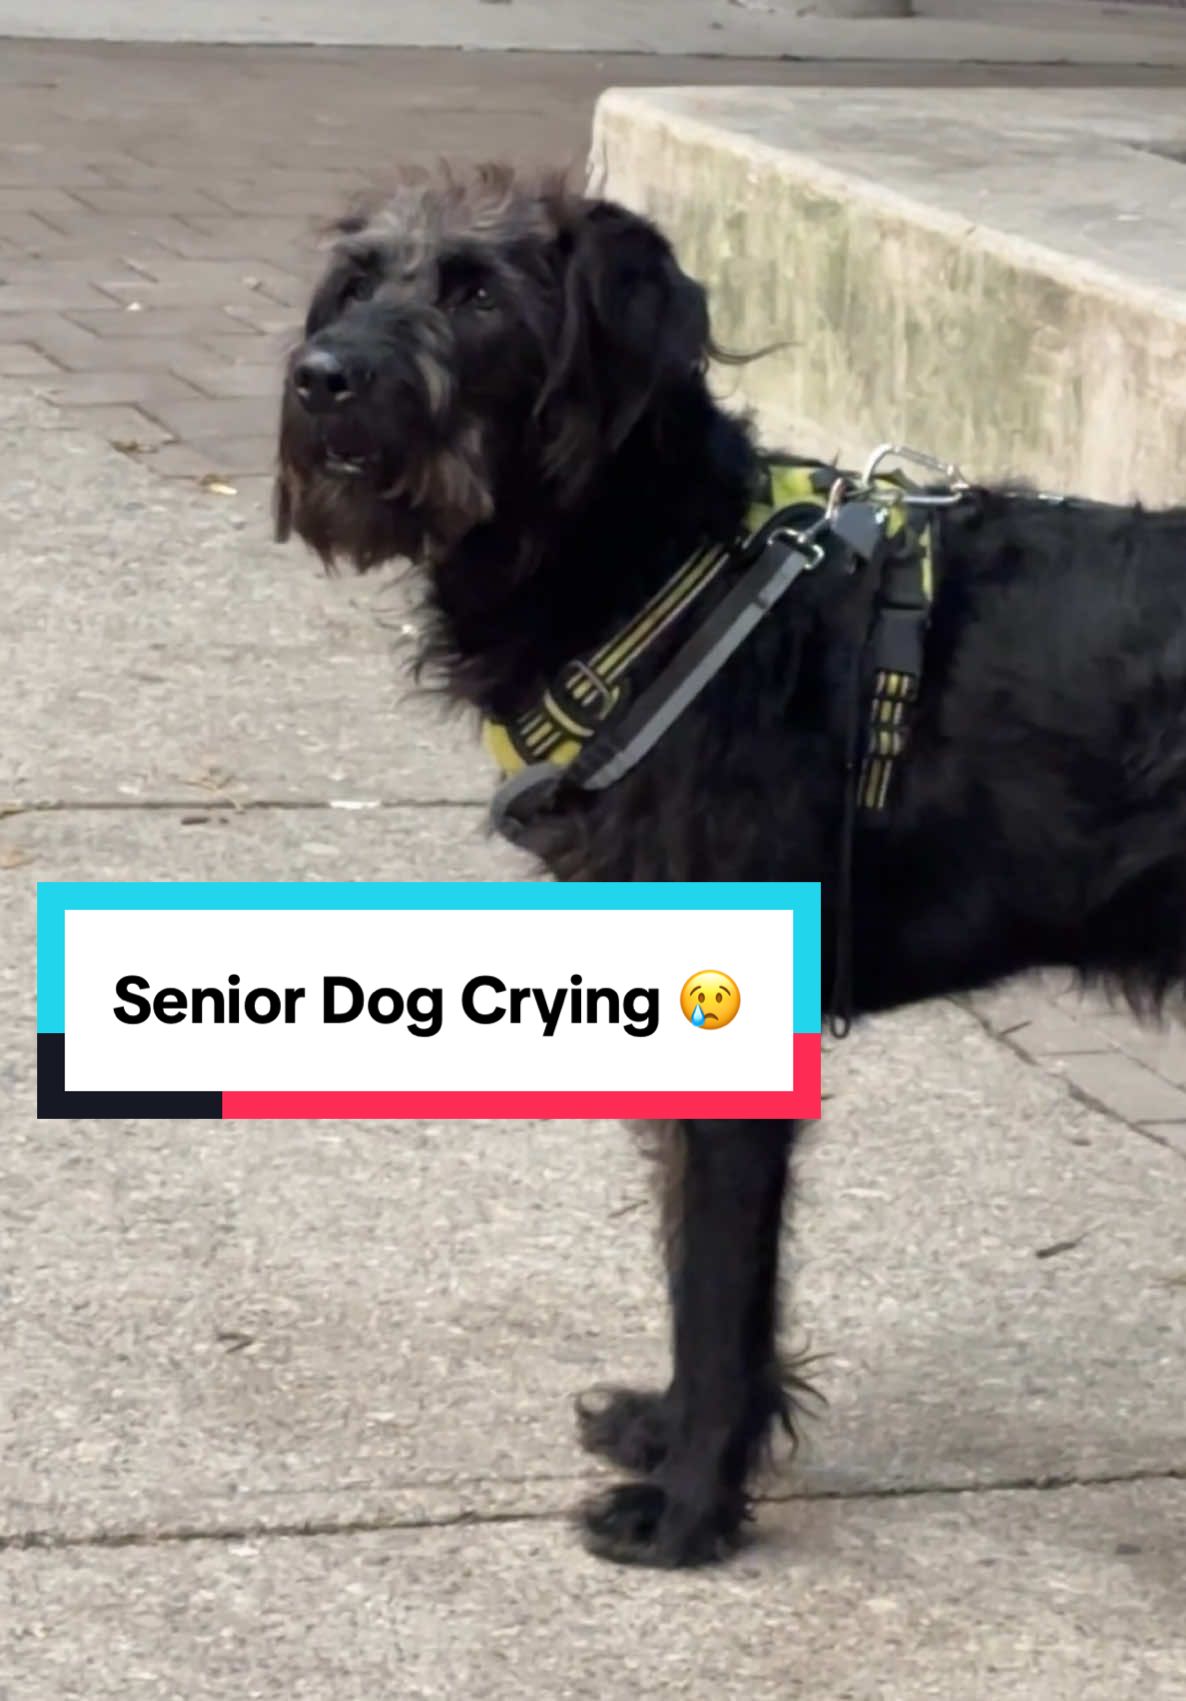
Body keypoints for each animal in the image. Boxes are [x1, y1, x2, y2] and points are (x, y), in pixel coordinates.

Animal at [275, 165, 1184, 1571]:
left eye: (478, 296)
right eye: (358, 280)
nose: (318, 379)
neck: (673, 579)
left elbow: (713, 1278)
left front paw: (690, 1503)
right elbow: (692, 1264)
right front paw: (669, 1435)